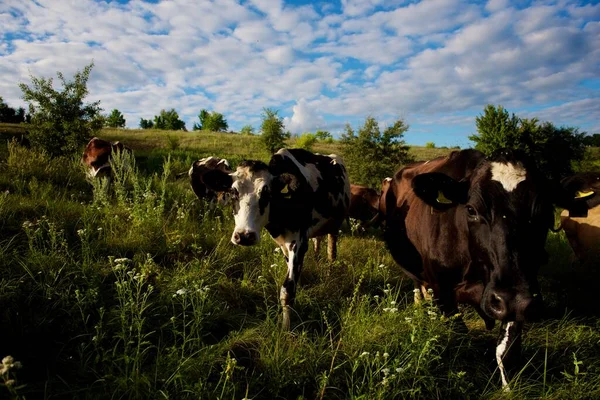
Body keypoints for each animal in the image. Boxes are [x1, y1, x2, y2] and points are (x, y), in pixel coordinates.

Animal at [203, 148, 352, 330]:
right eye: (233, 192)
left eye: (267, 193)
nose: (244, 236)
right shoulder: (283, 244)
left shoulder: (299, 243)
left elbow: (287, 290)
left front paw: (285, 329)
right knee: (318, 241)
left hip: (335, 225)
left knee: (332, 251)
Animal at [382, 148, 596, 390]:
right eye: (471, 209)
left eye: (544, 213)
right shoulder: (443, 291)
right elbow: (461, 341)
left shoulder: (517, 297)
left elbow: (507, 351)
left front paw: (508, 388)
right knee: (419, 287)